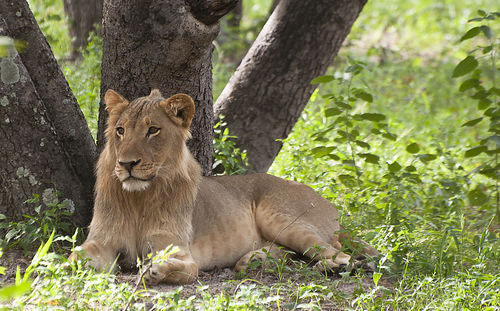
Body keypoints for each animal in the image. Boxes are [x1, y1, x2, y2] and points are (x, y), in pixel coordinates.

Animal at [71, 88, 378, 286]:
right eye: (120, 130)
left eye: (153, 130)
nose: (127, 164)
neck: (138, 199)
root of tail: (326, 202)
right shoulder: (101, 241)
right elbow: (75, 256)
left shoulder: (176, 248)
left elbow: (186, 269)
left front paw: (156, 270)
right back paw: (254, 261)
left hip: (283, 218)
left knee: (335, 250)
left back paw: (333, 265)